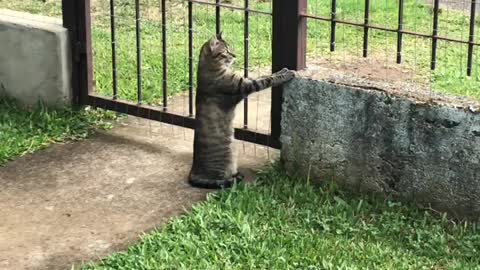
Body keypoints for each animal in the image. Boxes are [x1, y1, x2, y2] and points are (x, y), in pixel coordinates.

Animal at [188, 32, 296, 189]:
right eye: (226, 51)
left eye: (230, 49)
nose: (235, 55)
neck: (209, 67)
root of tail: (193, 173)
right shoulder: (245, 85)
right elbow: (266, 80)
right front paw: (286, 75)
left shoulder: (246, 80)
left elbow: (265, 75)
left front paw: (282, 70)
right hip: (226, 161)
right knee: (222, 180)